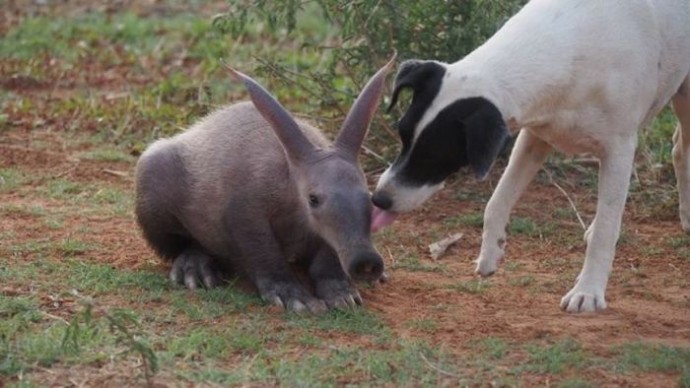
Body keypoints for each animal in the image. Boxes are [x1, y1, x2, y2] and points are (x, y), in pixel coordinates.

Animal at [370, 0, 688, 312]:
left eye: (433, 154)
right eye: (402, 136)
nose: (379, 199)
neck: (568, 47)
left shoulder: (619, 149)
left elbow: (605, 233)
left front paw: (588, 291)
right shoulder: (534, 137)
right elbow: (497, 200)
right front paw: (491, 252)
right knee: (678, 148)